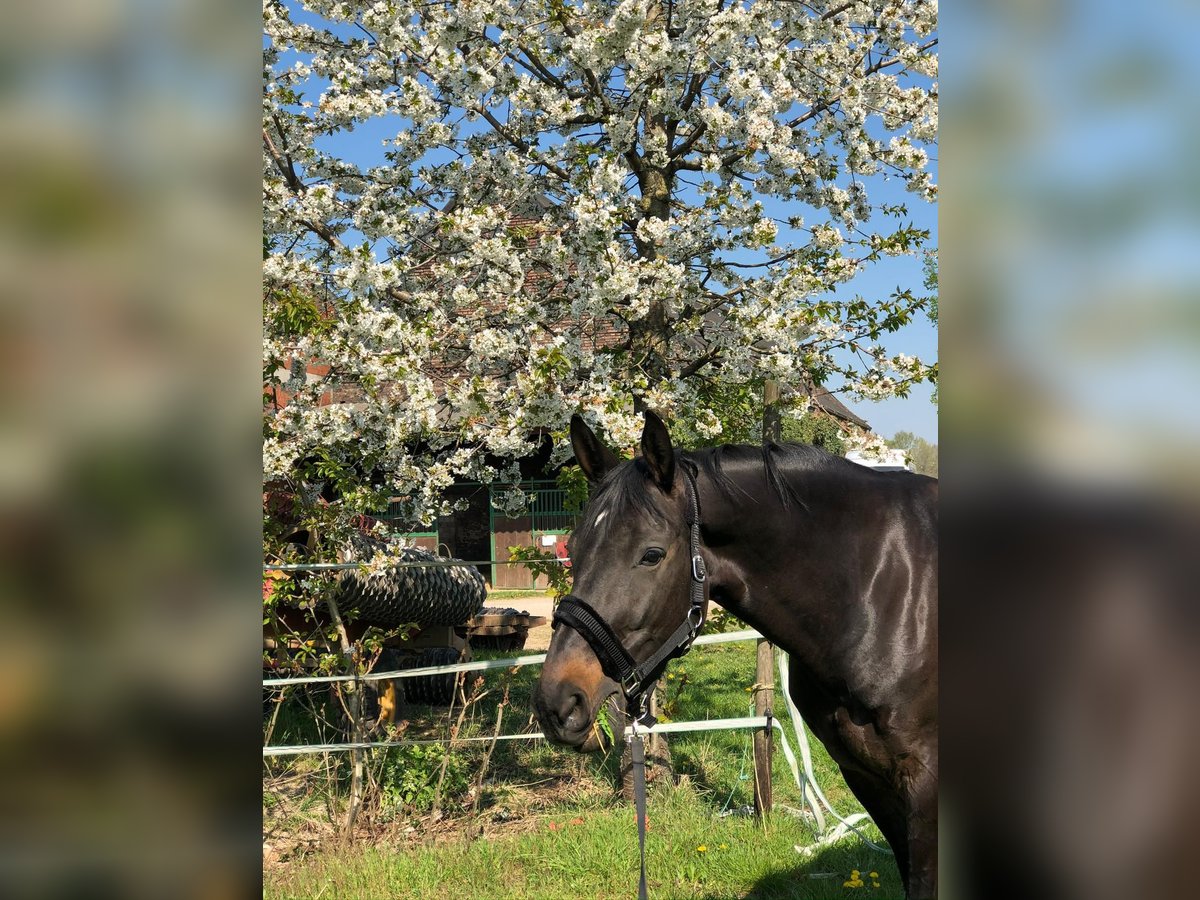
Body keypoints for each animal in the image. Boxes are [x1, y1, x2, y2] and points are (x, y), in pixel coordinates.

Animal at [532, 412, 936, 897]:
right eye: (572, 549)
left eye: (651, 554)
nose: (557, 702)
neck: (880, 592)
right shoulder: (868, 779)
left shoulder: (924, 785)